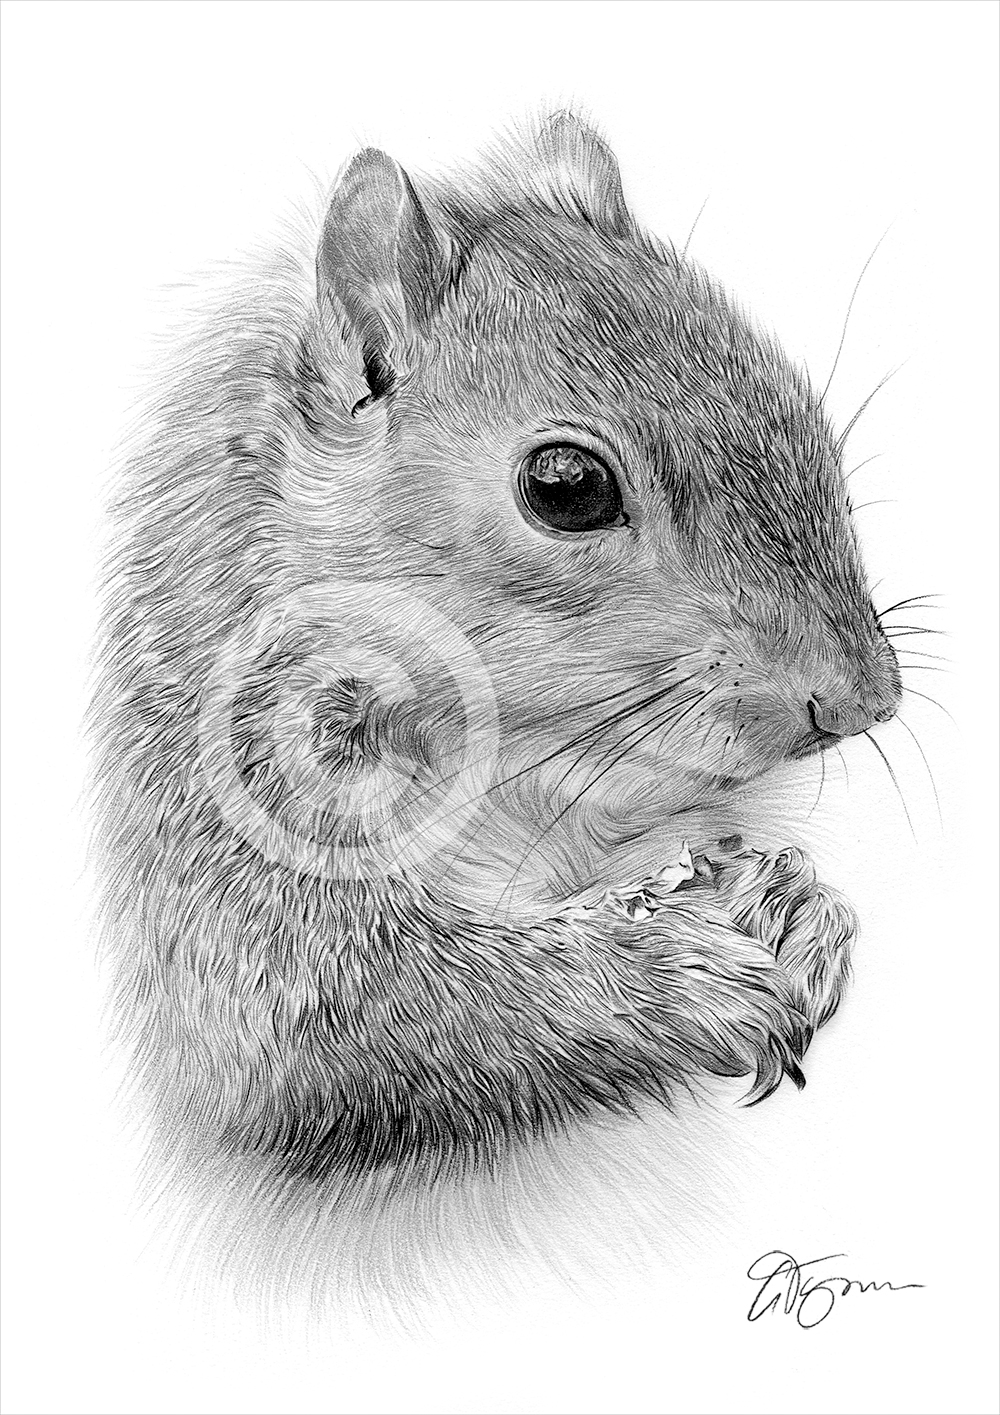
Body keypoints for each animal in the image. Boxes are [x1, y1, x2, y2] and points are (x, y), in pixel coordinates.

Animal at [91, 111, 901, 1192]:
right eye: (565, 486)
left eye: (799, 408)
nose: (863, 699)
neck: (509, 758)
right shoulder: (227, 810)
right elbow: (330, 1016)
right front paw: (669, 973)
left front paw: (790, 904)